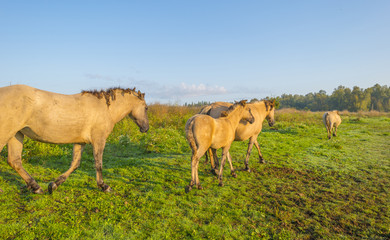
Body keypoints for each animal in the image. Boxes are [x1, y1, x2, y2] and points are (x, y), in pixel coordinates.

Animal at [0, 84, 149, 193]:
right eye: (146, 108)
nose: (146, 128)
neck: (106, 109)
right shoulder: (99, 140)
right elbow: (98, 163)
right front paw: (104, 186)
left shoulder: (80, 142)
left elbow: (75, 164)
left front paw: (54, 184)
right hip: (6, 134)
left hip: (16, 135)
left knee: (15, 161)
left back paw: (36, 187)